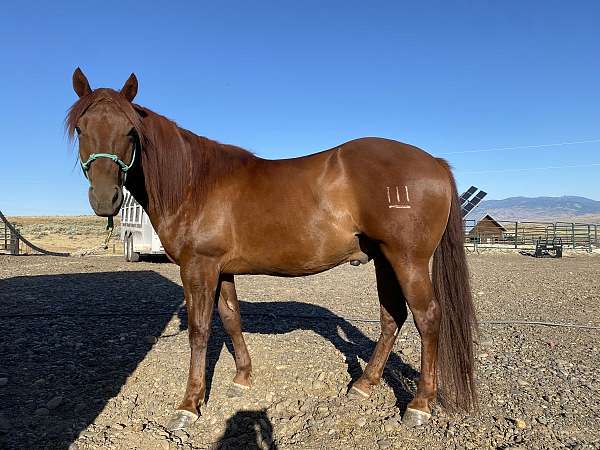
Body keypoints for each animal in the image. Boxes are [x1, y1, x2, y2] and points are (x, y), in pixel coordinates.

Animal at [67, 68, 478, 430]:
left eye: (130, 131)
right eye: (82, 129)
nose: (105, 199)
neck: (195, 183)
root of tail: (434, 163)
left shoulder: (197, 267)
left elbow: (200, 330)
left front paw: (189, 405)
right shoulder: (221, 269)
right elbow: (231, 318)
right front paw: (242, 378)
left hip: (408, 260)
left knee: (428, 318)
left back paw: (419, 405)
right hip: (384, 260)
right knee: (392, 316)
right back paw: (364, 385)